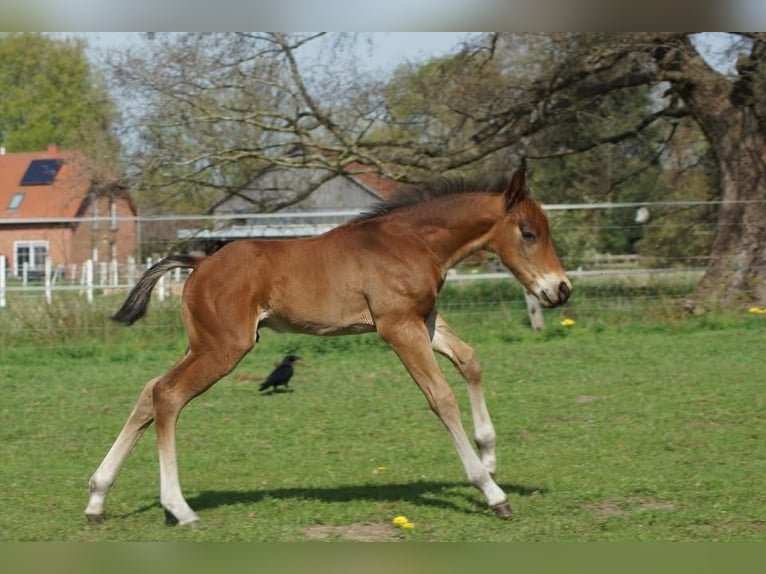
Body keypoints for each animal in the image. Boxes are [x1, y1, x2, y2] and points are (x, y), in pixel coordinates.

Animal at [84, 162, 571, 526]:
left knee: (149, 392)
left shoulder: (426, 321)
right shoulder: (397, 327)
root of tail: (198, 262)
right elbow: (441, 397)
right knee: (167, 395)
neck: (410, 242)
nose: (560, 290)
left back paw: (97, 498)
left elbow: (470, 361)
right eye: (529, 232)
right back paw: (178, 508)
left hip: (202, 344)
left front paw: (489, 456)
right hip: (223, 348)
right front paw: (491, 490)